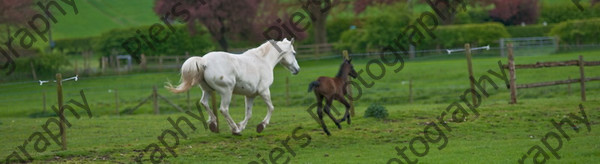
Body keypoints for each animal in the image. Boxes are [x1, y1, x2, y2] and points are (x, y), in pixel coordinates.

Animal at [166, 39, 300, 135]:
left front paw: (242, 126)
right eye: (294, 53)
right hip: (227, 92)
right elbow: (271, 108)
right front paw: (261, 126)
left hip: (207, 90)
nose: (297, 70)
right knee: (223, 109)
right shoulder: (264, 91)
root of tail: (204, 61)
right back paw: (235, 129)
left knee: (203, 103)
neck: (263, 61)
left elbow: (249, 114)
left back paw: (214, 124)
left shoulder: (250, 95)